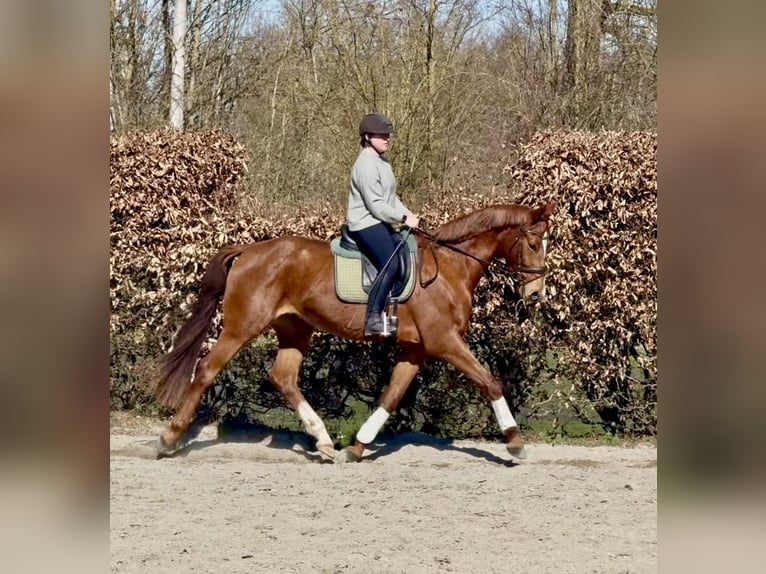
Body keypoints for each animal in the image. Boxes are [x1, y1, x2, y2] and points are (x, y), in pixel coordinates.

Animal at [154, 201, 556, 463]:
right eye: (533, 243)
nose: (536, 294)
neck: (449, 268)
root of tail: (249, 250)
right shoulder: (444, 342)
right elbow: (490, 382)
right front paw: (514, 442)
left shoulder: (416, 349)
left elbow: (391, 397)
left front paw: (357, 446)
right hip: (242, 327)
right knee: (207, 369)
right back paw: (169, 438)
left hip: (295, 329)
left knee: (283, 377)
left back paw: (323, 441)